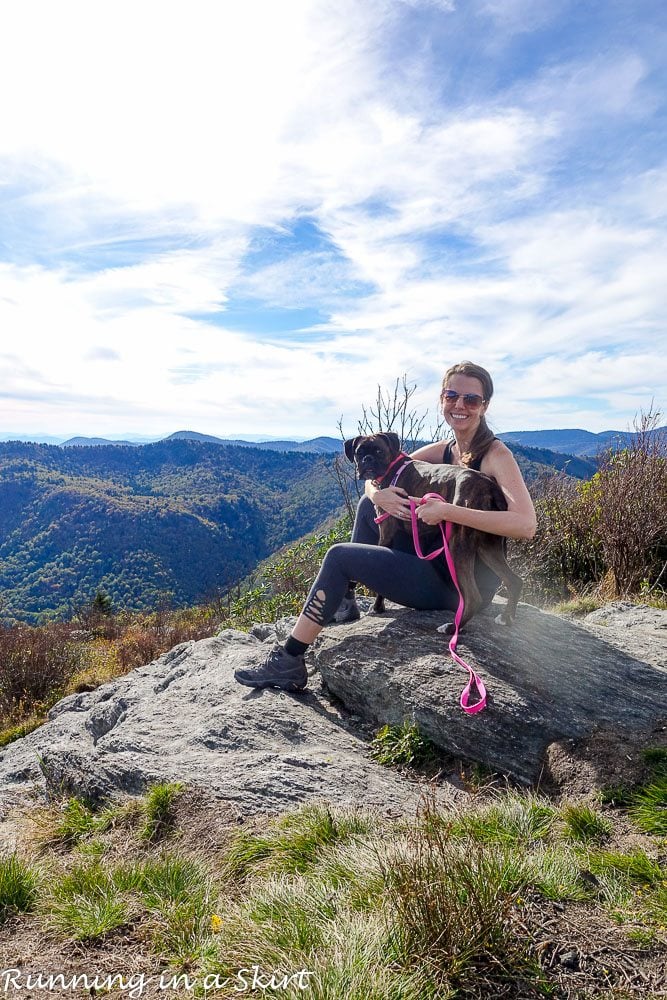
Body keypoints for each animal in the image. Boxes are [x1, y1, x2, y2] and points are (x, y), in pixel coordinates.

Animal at [348, 430, 524, 624]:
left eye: (379, 451)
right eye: (359, 452)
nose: (367, 459)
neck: (393, 466)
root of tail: (490, 486)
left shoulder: (386, 534)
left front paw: (378, 607)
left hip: (458, 546)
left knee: (473, 597)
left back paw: (451, 627)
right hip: (487, 546)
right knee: (514, 581)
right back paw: (506, 618)